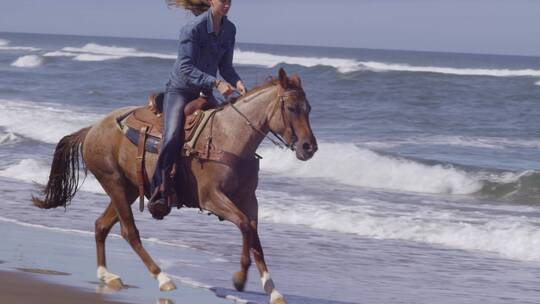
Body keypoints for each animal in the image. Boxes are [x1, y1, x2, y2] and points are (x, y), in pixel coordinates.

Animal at [32, 68, 316, 304]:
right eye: (292, 107)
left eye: (309, 108)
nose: (309, 147)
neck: (230, 136)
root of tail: (92, 129)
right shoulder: (212, 197)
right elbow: (245, 226)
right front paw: (239, 278)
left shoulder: (248, 200)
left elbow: (255, 237)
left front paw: (273, 291)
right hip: (114, 183)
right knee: (129, 232)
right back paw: (163, 278)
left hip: (128, 189)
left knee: (101, 225)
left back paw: (107, 275)